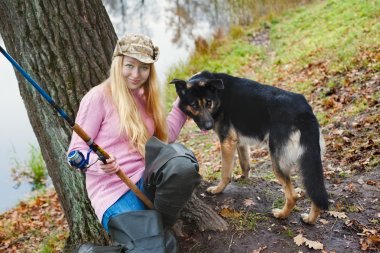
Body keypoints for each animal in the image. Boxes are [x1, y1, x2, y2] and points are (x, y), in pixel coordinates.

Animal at [172, 70, 330, 223]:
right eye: (194, 105)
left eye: (208, 102)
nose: (208, 125)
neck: (218, 94)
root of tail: (304, 111)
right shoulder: (239, 142)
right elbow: (245, 163)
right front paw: (243, 177)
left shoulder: (227, 142)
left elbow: (225, 173)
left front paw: (218, 189)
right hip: (310, 159)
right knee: (315, 191)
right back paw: (310, 219)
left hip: (278, 162)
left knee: (293, 196)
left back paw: (281, 214)